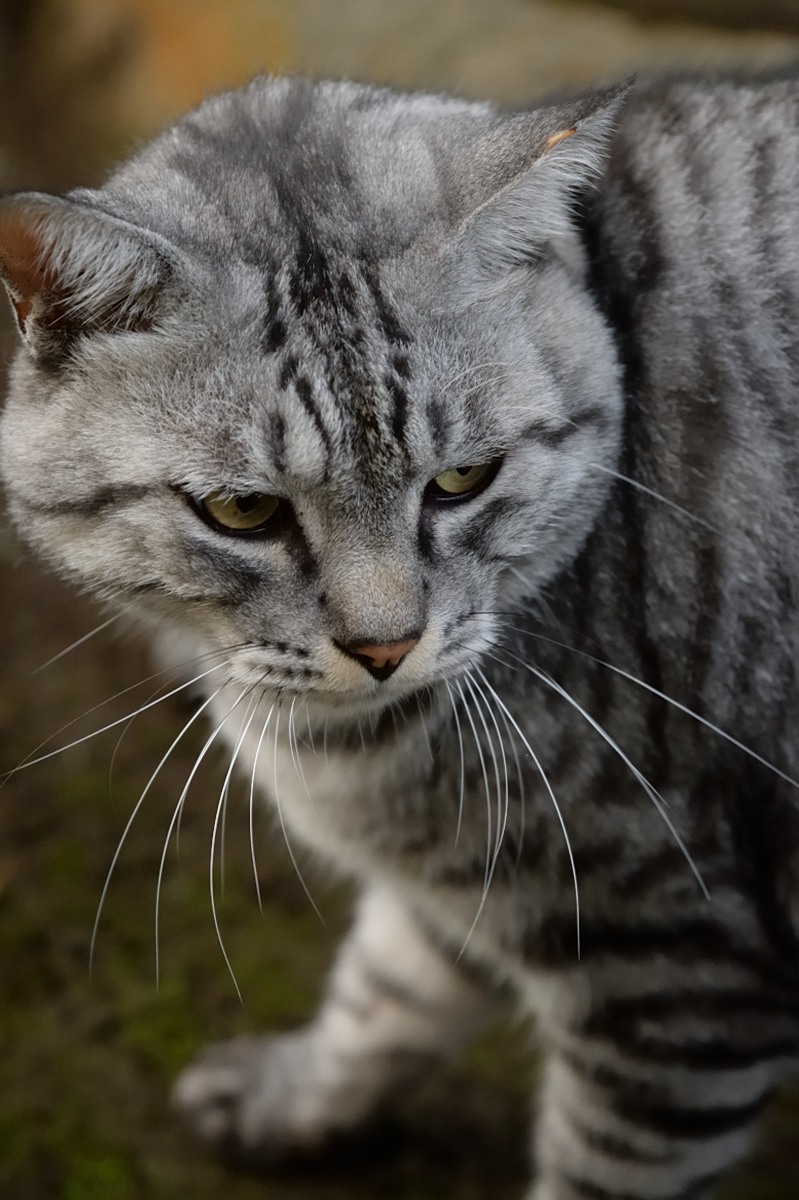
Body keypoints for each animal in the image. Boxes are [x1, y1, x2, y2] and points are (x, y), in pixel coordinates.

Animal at [1, 68, 796, 1200]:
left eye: (462, 479)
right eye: (242, 510)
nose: (385, 647)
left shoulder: (677, 966)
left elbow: (595, 1167)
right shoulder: (485, 880)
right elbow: (386, 989)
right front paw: (292, 1098)